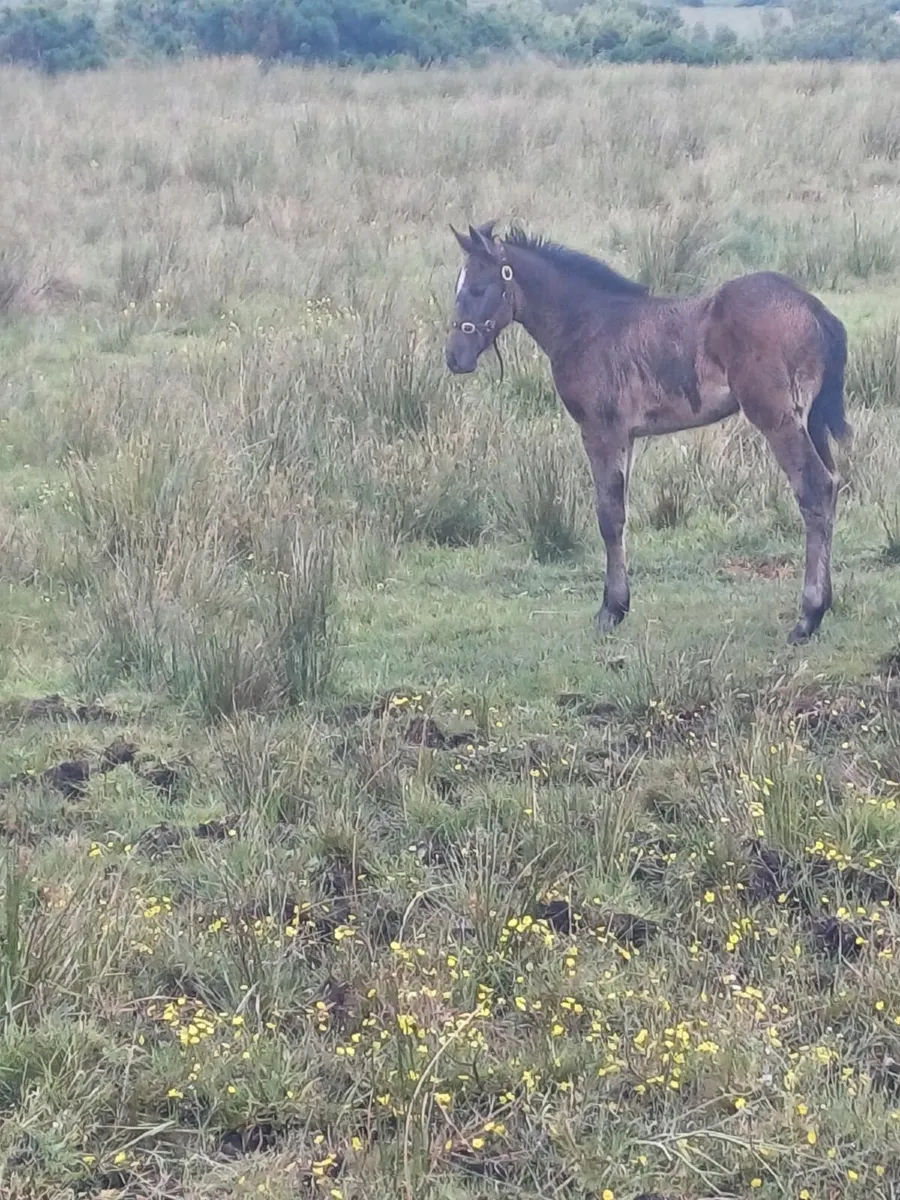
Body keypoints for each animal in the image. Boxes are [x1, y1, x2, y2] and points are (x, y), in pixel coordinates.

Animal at [445, 220, 850, 645]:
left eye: (476, 289)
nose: (454, 357)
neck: (586, 324)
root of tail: (815, 309)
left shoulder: (600, 430)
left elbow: (608, 515)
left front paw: (611, 611)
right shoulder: (627, 436)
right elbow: (619, 512)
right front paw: (618, 604)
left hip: (776, 418)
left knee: (814, 488)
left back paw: (807, 618)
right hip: (810, 422)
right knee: (832, 485)